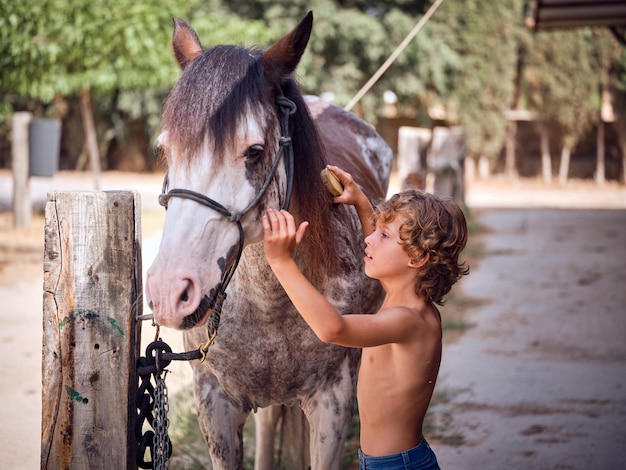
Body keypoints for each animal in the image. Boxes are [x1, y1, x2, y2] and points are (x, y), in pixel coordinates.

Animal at [144, 11, 392, 470]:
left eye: (255, 151)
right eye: (166, 150)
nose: (170, 291)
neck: (270, 301)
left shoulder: (333, 400)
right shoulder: (215, 403)